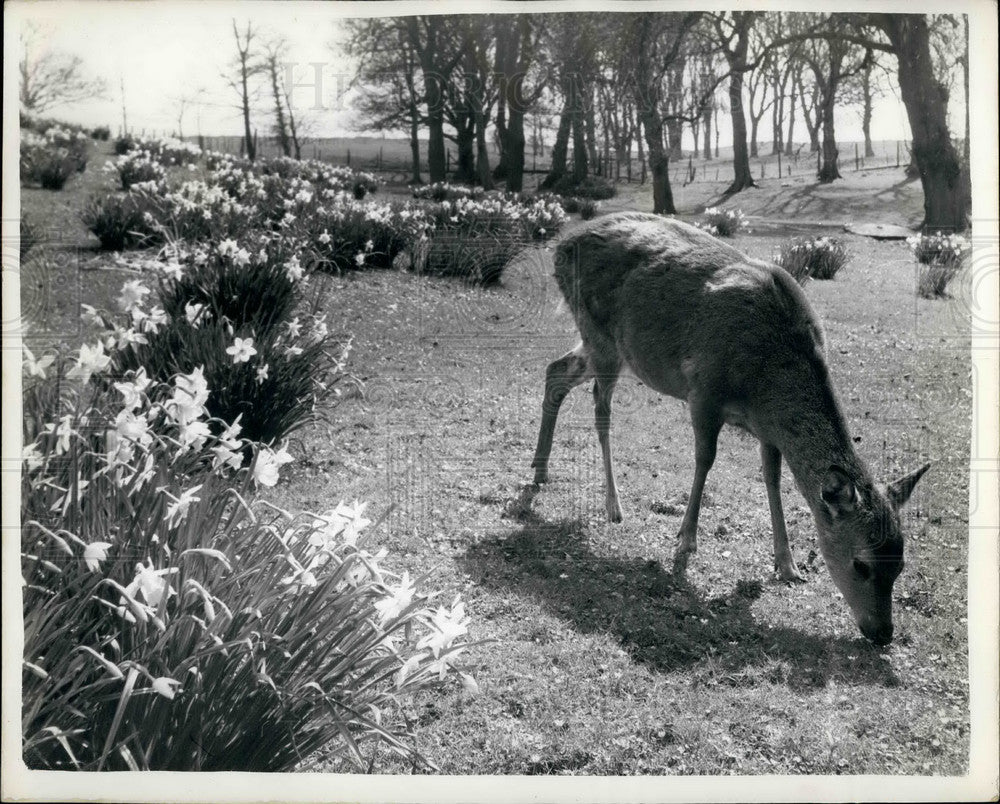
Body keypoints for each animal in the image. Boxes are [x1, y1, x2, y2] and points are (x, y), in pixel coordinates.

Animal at [530, 212, 930, 646]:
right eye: (861, 564)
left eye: (901, 563)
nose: (883, 633)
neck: (765, 381)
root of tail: (561, 244)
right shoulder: (703, 390)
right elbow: (705, 459)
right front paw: (685, 541)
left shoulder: (767, 429)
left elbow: (772, 479)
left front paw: (787, 565)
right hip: (601, 335)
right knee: (600, 406)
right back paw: (612, 504)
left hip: (606, 346)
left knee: (555, 371)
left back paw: (540, 471)